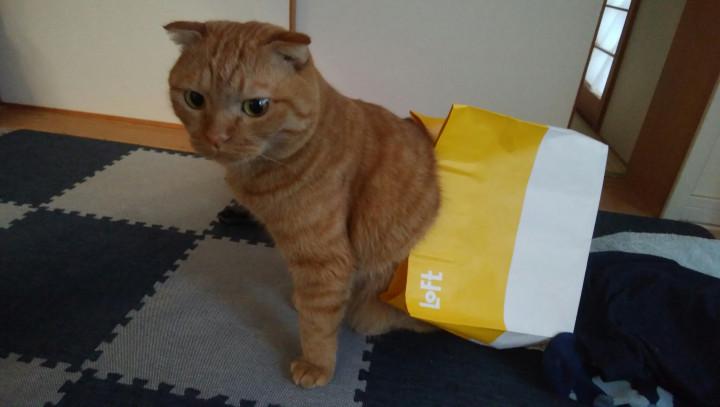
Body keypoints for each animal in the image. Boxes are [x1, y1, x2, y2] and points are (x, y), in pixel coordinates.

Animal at [165, 20, 440, 388]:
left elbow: (317, 323)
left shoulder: (324, 261)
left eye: (256, 107)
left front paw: (316, 364)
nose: (215, 138)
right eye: (194, 99)